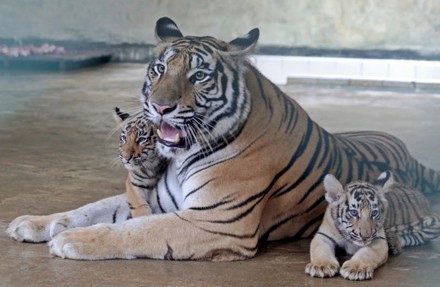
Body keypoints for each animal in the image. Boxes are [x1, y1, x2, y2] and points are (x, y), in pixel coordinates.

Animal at [6, 16, 440, 262]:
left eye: (199, 76)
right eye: (159, 69)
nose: (160, 107)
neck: (181, 157)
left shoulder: (216, 221)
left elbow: (136, 230)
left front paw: (71, 241)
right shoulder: (157, 199)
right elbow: (88, 208)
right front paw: (30, 223)